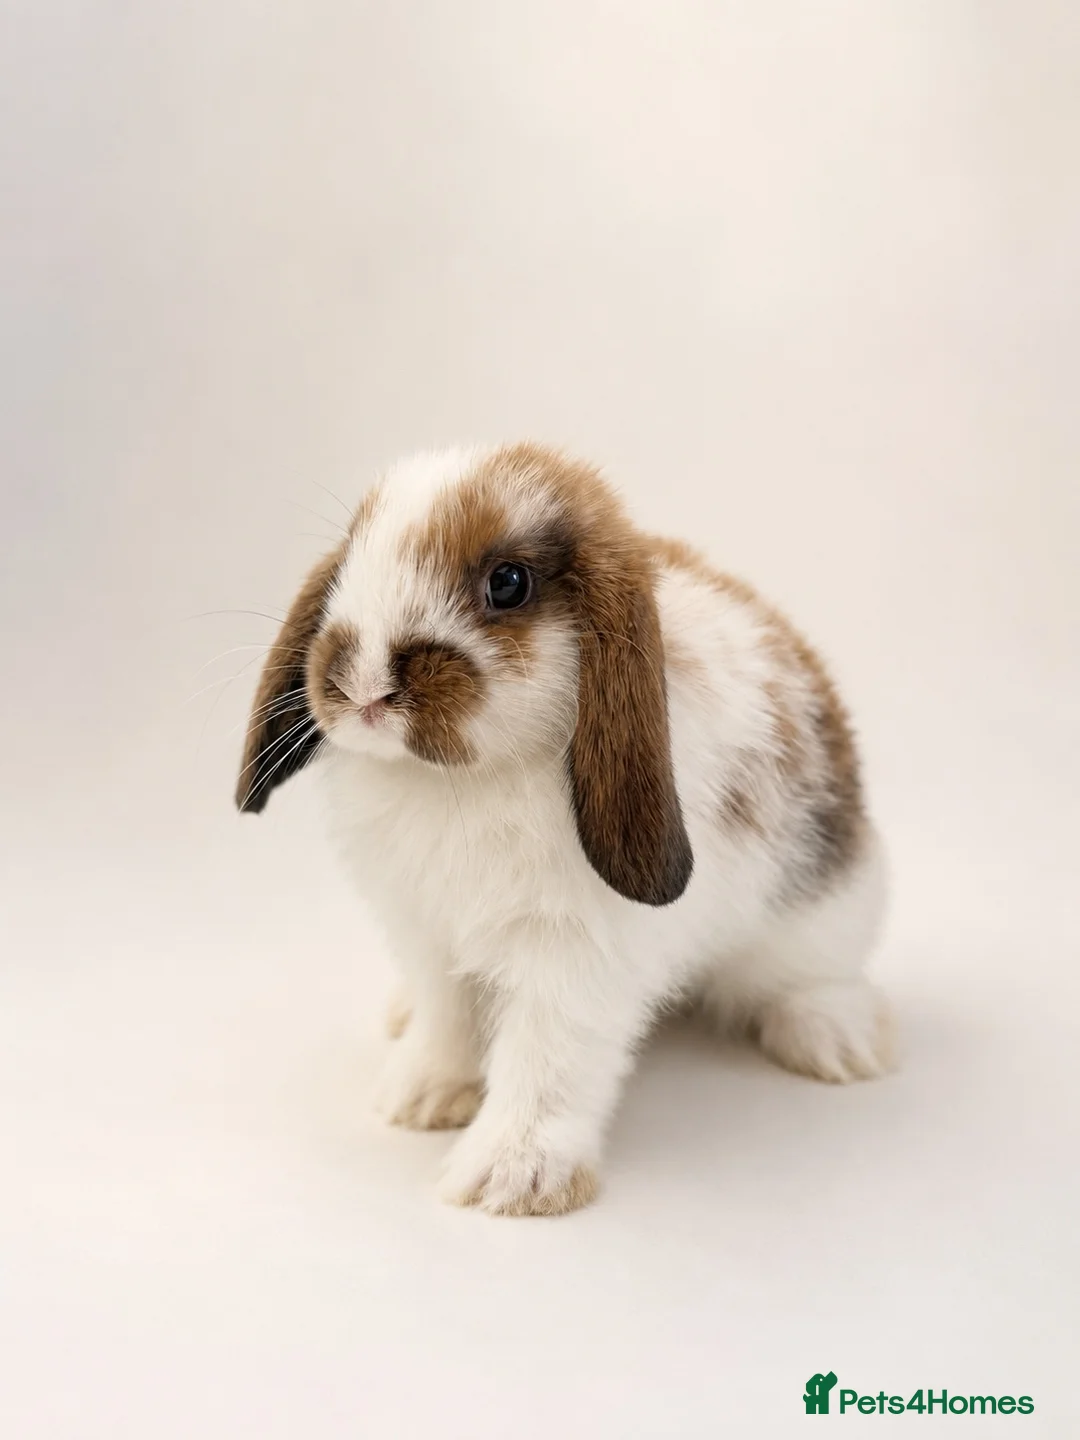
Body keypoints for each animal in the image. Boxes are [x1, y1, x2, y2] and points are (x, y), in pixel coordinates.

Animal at [236, 442, 892, 1216]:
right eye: (350, 558)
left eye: (508, 583)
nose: (364, 685)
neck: (461, 782)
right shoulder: (427, 933)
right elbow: (446, 1019)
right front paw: (419, 1099)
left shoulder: (576, 955)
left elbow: (545, 1060)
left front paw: (511, 1179)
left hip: (827, 906)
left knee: (815, 975)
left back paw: (838, 1044)